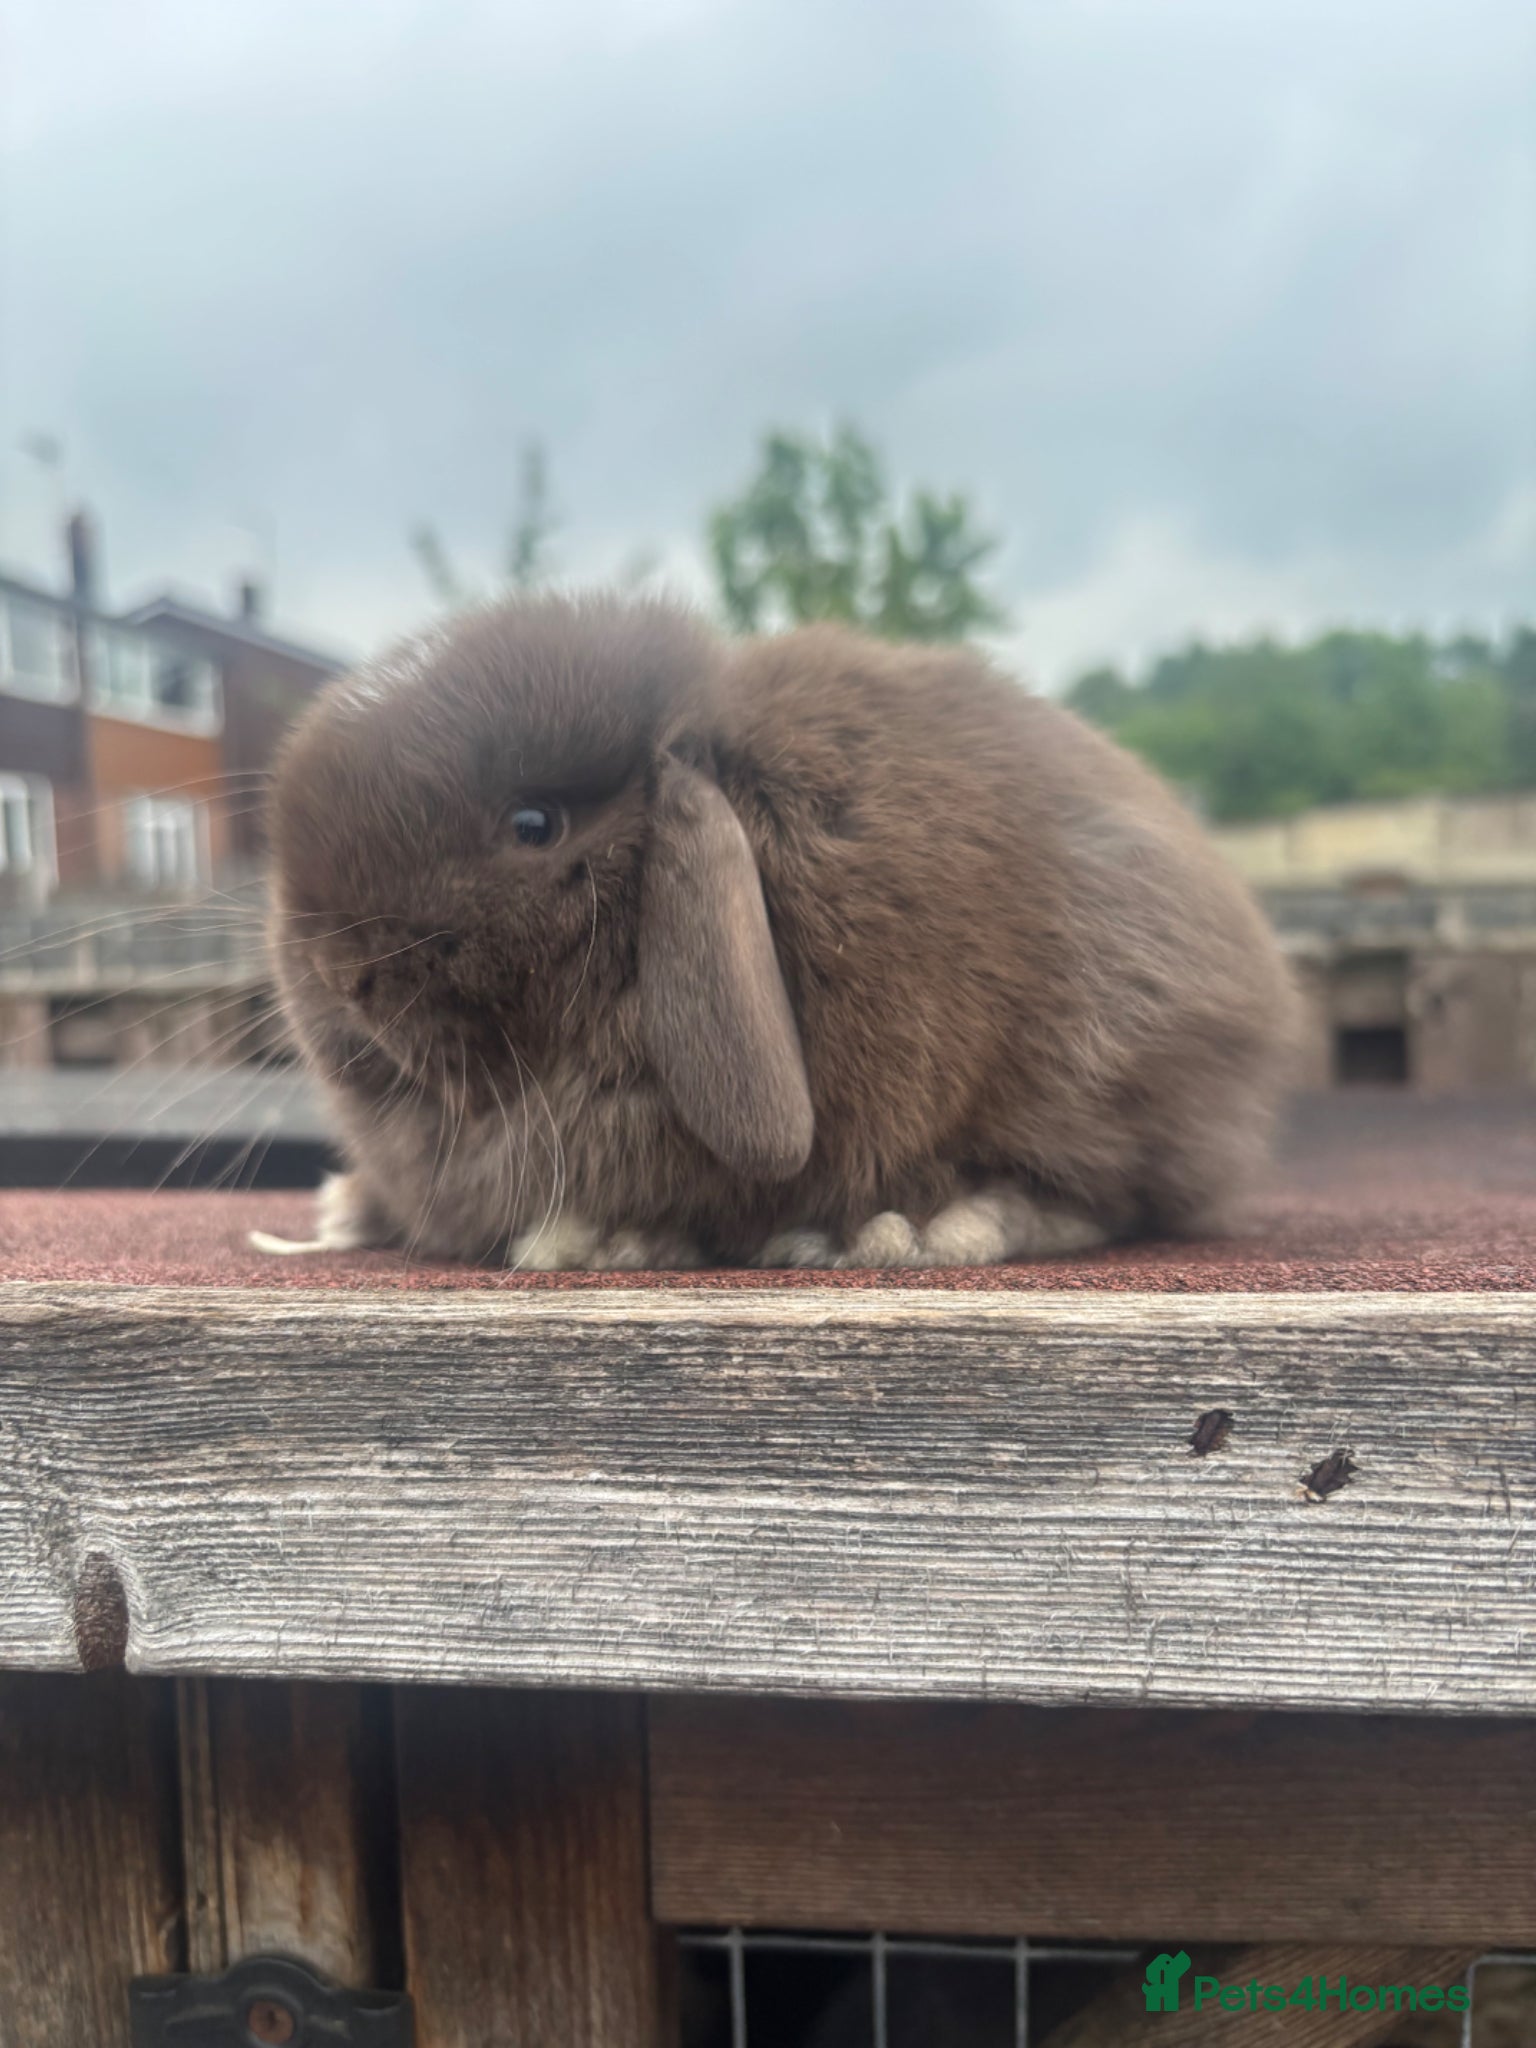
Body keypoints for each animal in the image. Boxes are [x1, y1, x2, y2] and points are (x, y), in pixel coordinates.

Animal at [253, 590, 1298, 1271]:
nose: (336, 970)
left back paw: (909, 1229)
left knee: (1104, 1194)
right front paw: (346, 1210)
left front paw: (602, 1241)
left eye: (533, 825)